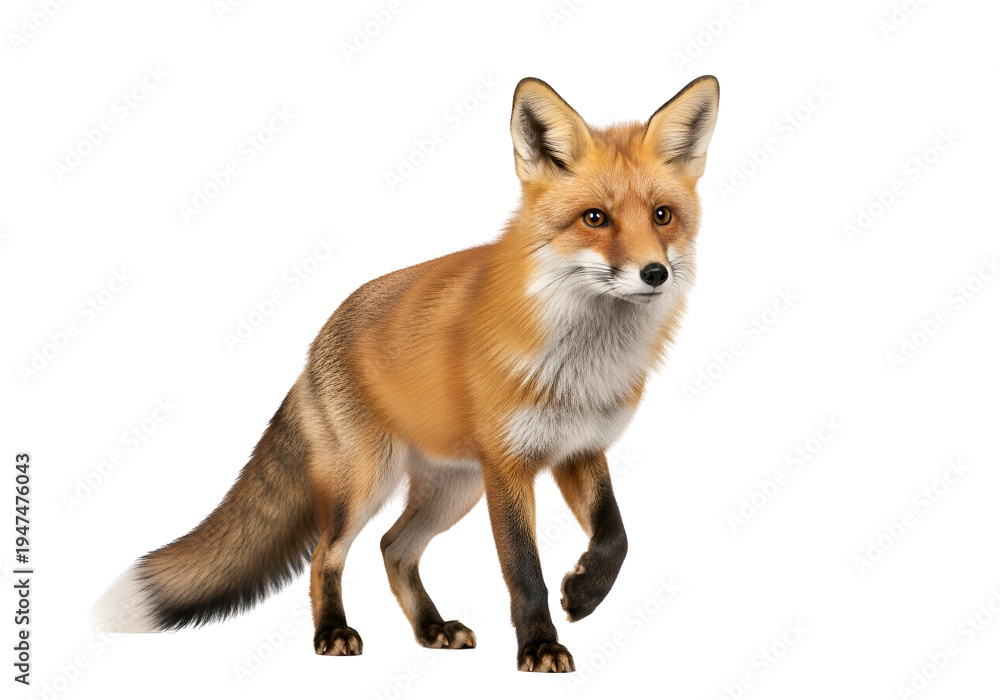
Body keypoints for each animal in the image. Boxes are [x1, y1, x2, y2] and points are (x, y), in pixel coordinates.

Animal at [92, 75, 720, 672]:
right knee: (326, 553)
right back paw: (333, 632)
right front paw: (539, 646)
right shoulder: (509, 467)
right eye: (595, 218)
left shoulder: (580, 450)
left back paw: (430, 629)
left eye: (662, 216)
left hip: (452, 489)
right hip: (367, 483)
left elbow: (617, 536)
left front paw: (585, 592)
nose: (655, 273)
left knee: (394, 547)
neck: (581, 367)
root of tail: (317, 339)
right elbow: (523, 571)